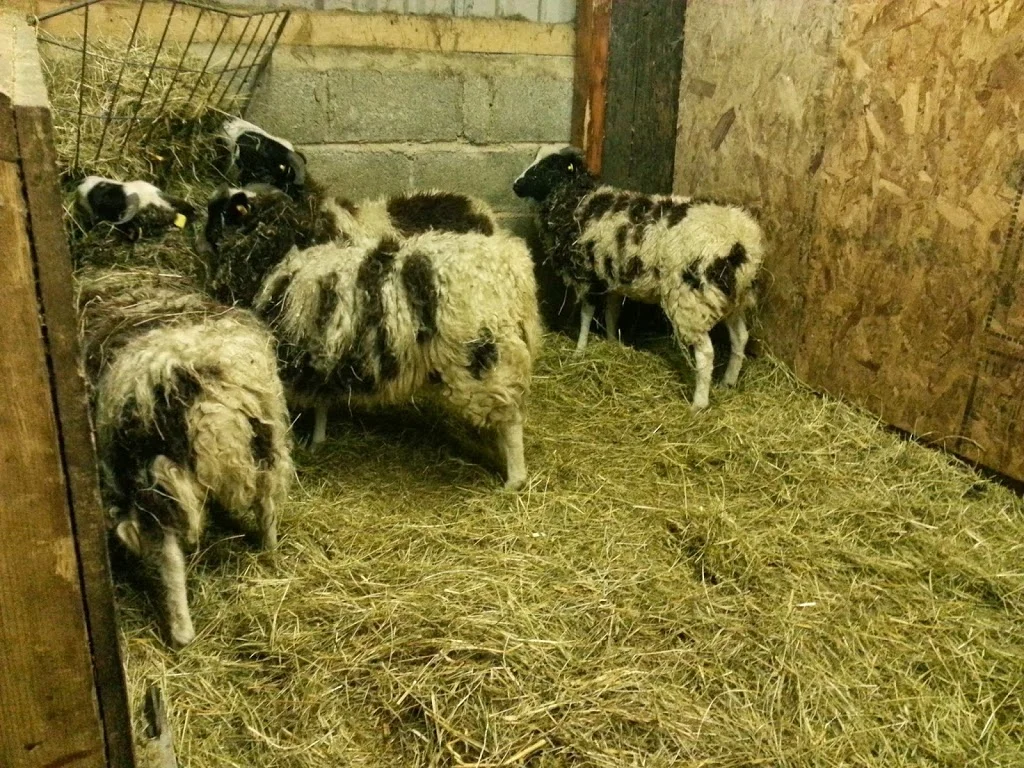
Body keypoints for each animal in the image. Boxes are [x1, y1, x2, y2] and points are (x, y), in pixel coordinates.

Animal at [77, 267, 294, 647]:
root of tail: (212, 405)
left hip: (155, 473)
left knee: (168, 554)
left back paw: (181, 632)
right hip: (267, 440)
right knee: (266, 505)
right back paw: (270, 554)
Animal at [201, 185, 542, 489]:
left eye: (225, 212)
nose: (202, 227)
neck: (281, 254)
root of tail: (514, 266)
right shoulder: (324, 348)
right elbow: (322, 401)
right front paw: (318, 441)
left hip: (485, 358)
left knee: (511, 423)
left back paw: (514, 479)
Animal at [513, 146, 764, 411]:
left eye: (547, 167)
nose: (516, 186)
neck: (578, 201)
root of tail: (741, 242)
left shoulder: (588, 275)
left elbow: (586, 315)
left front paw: (579, 351)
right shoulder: (612, 277)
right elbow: (612, 313)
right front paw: (612, 343)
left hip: (693, 299)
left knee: (706, 353)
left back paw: (698, 403)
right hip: (732, 297)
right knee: (740, 338)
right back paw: (728, 381)